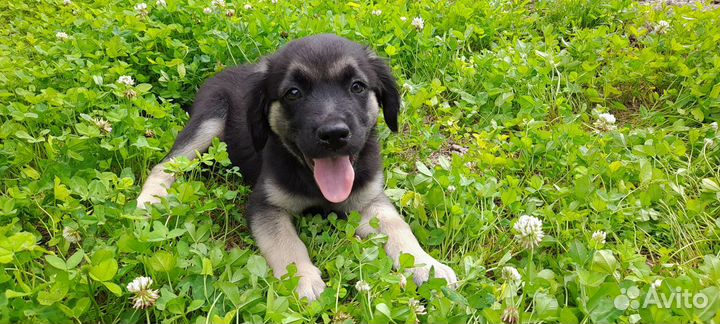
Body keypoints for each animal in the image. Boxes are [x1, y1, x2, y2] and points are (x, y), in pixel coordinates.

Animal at [138, 34, 458, 300]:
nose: (334, 134)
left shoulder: (370, 198)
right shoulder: (265, 205)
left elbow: (397, 227)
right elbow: (285, 243)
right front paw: (302, 281)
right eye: (293, 93)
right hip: (209, 120)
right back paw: (150, 199)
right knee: (165, 164)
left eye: (357, 87)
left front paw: (426, 265)